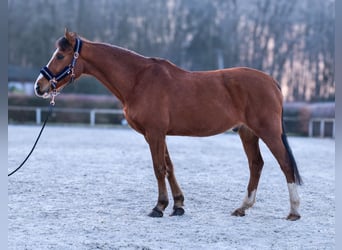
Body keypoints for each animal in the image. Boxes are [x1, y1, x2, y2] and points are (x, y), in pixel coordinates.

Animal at [34, 29, 302, 221]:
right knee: (256, 165)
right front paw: (178, 205)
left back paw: (294, 211)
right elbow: (170, 167)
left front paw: (159, 206)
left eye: (60, 55)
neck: (138, 80)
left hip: (268, 131)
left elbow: (159, 168)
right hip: (248, 133)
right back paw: (242, 207)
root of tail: (272, 81)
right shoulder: (157, 134)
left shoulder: (154, 133)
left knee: (285, 163)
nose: (39, 86)